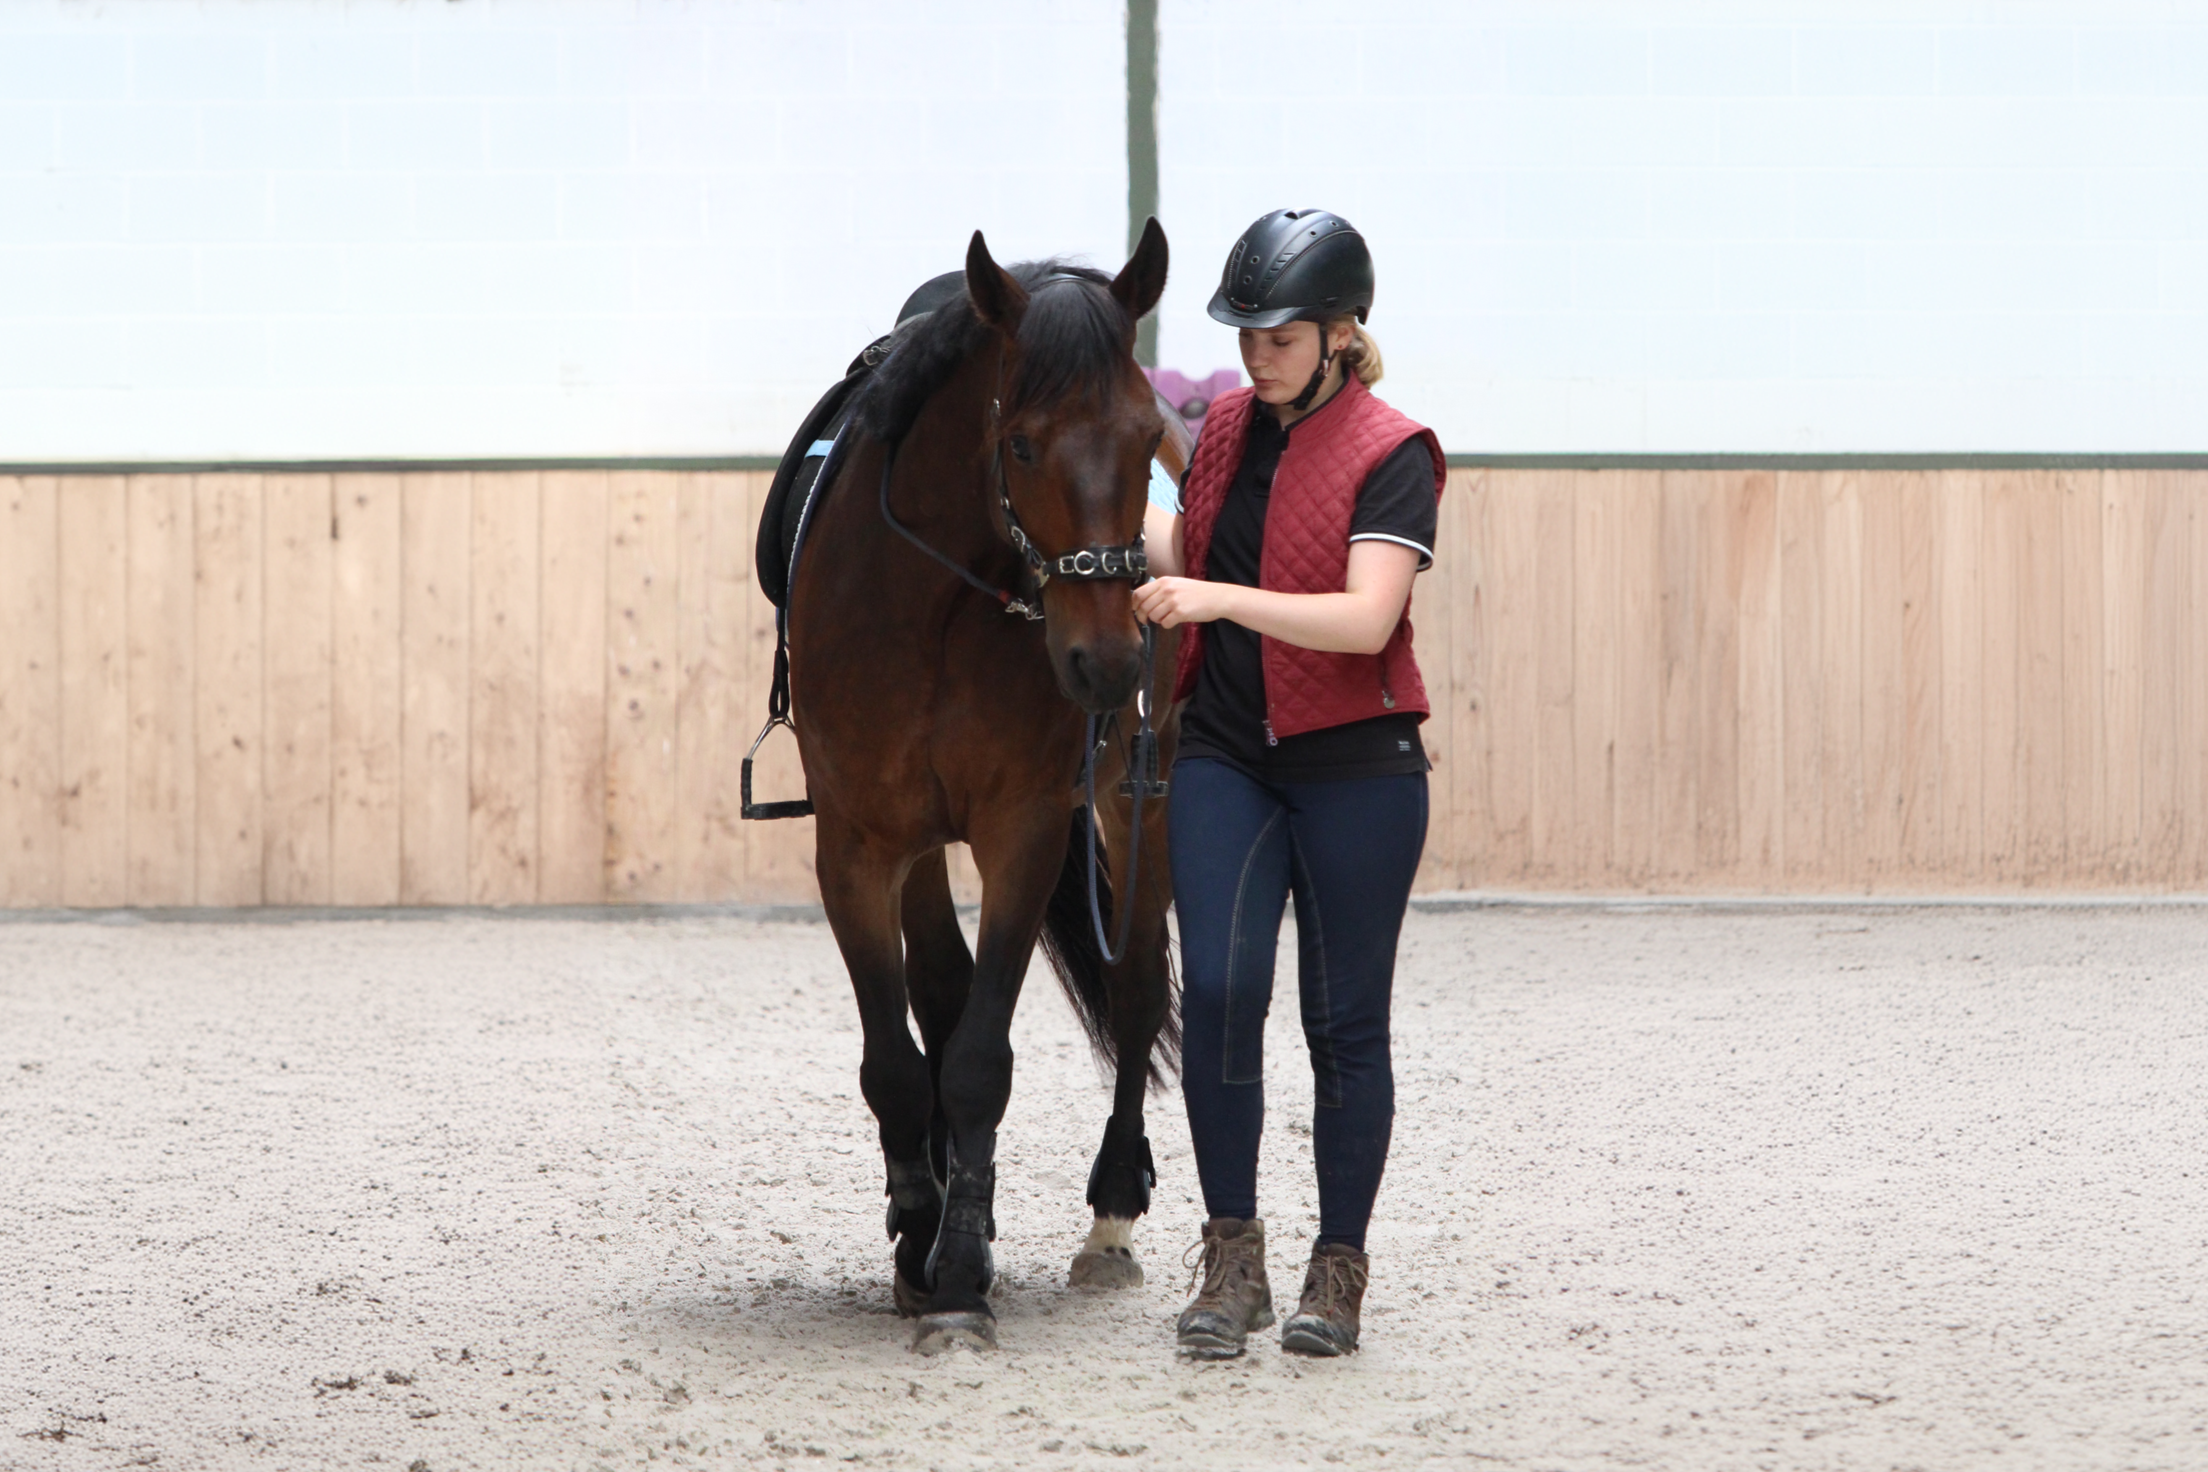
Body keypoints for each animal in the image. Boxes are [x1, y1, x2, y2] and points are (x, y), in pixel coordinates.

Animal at [786, 222, 1186, 1353]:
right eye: (1022, 444)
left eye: (1148, 435)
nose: (1109, 663)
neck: (935, 602)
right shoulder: (858, 843)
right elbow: (897, 1051)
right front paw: (920, 1236)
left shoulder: (1024, 832)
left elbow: (978, 1057)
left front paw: (960, 1273)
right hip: (922, 841)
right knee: (938, 988)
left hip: (1140, 797)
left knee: (1136, 991)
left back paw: (1110, 1217)